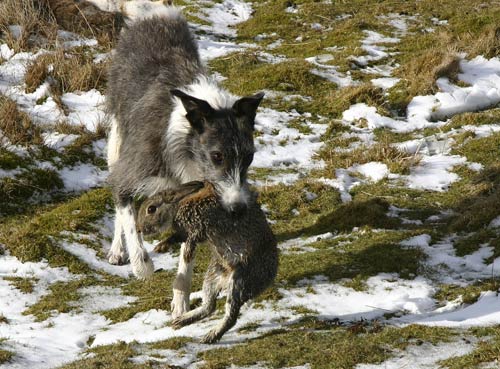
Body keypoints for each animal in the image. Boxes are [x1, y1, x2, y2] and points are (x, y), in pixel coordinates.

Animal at [106, 6, 266, 316]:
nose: (239, 209)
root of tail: (153, 11)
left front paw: (180, 301)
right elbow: (129, 217)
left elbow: (186, 254)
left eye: (250, 157)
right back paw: (118, 249)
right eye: (217, 156)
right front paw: (141, 265)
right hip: (116, 140)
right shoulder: (130, 173)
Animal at [137, 180, 278, 342]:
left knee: (231, 315)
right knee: (209, 306)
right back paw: (181, 321)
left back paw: (210, 336)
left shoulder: (203, 223)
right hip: (212, 276)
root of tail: (270, 277)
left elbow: (191, 238)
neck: (177, 205)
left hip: (240, 280)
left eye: (151, 209)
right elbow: (179, 237)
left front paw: (183, 252)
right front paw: (162, 247)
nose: (139, 229)